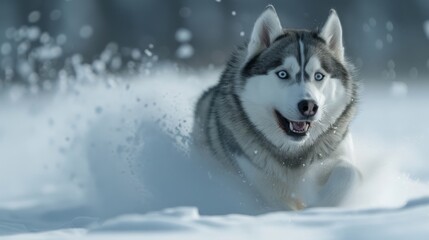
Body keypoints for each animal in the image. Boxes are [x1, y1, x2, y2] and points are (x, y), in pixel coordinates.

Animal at [193, 4, 358, 209]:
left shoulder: (337, 154)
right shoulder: (259, 182)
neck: (294, 154)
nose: (309, 106)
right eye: (283, 74)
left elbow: (348, 173)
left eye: (319, 76)